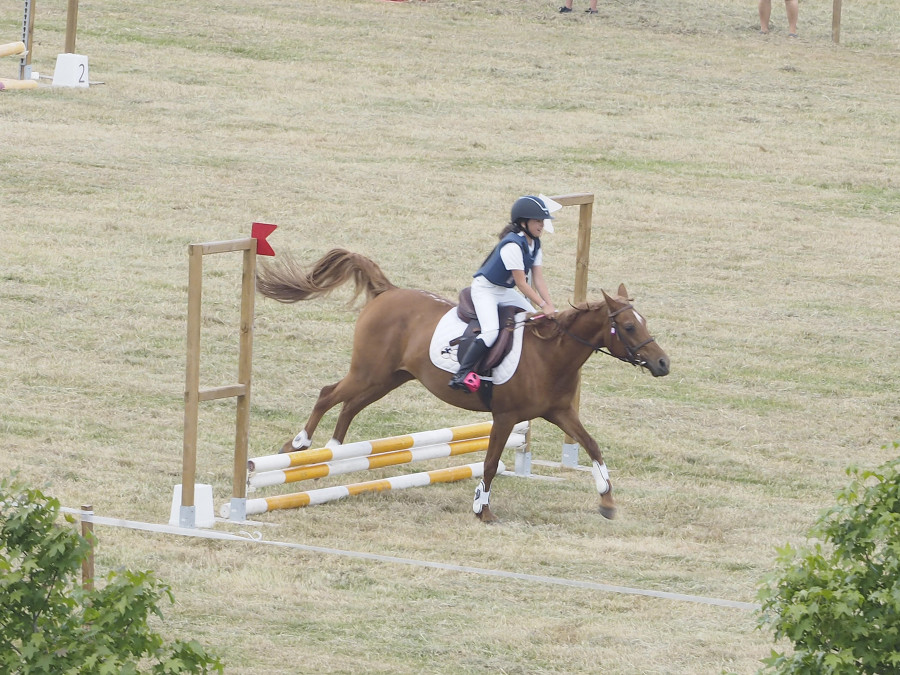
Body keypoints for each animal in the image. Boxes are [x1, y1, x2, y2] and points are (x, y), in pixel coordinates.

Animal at [255, 250, 668, 524]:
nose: (663, 363)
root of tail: (390, 291)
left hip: (389, 377)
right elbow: (489, 463)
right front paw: (482, 508)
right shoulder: (506, 417)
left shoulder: (560, 412)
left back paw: (335, 454)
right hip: (369, 372)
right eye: (629, 327)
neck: (551, 354)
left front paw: (607, 501)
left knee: (351, 405)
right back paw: (299, 446)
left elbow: (593, 447)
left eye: (644, 322)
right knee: (329, 394)